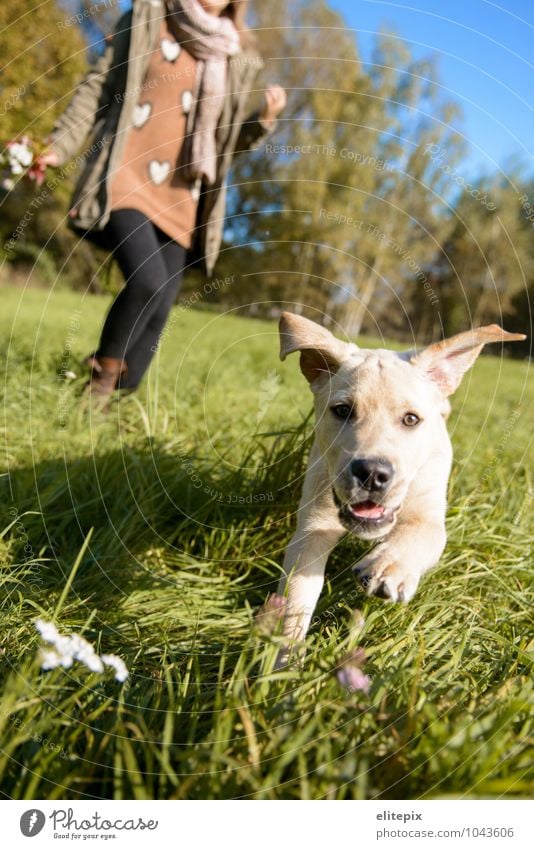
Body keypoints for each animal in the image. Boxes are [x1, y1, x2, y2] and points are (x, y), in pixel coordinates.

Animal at [276, 312, 528, 664]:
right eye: (342, 410)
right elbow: (295, 600)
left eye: (411, 419)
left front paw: (388, 567)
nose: (372, 473)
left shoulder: (428, 513)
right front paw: (282, 662)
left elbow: (415, 535)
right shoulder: (313, 527)